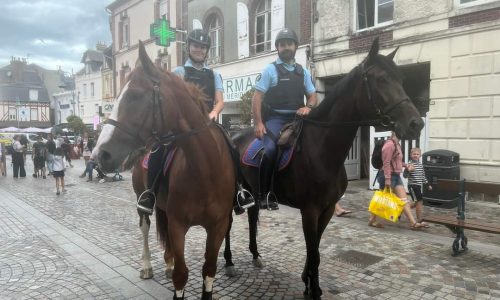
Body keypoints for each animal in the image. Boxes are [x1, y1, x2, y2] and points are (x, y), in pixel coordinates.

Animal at [93, 42, 234, 300]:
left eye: (135, 95)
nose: (100, 154)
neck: (205, 171)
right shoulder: (178, 225)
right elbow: (181, 275)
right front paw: (171, 271)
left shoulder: (218, 227)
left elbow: (209, 269)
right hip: (142, 200)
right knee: (146, 228)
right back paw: (147, 266)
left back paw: (167, 263)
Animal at [229, 38, 424, 300]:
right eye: (381, 79)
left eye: (401, 79)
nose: (416, 124)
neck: (322, 150)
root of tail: (234, 136)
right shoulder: (309, 211)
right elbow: (313, 253)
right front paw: (313, 289)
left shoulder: (328, 209)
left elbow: (317, 251)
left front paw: (309, 282)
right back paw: (229, 262)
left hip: (252, 192)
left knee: (251, 219)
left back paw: (255, 255)